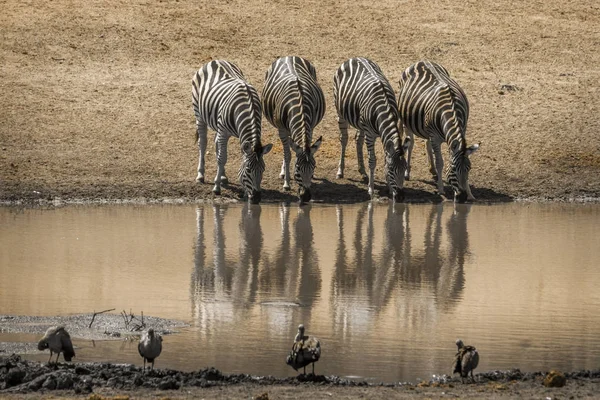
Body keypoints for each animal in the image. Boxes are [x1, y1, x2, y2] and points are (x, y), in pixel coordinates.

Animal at [193, 60, 274, 203]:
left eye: (263, 169)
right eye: (248, 170)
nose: (257, 198)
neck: (248, 107)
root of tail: (216, 60)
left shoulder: (235, 134)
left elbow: (225, 155)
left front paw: (244, 191)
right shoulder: (224, 132)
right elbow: (222, 158)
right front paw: (216, 187)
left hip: (218, 125)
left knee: (216, 143)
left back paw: (223, 177)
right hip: (199, 114)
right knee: (202, 144)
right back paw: (200, 175)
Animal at [262, 55, 326, 203]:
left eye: (314, 167)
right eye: (298, 168)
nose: (306, 196)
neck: (299, 105)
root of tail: (289, 56)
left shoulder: (310, 126)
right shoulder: (282, 130)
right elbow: (288, 155)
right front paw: (286, 183)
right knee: (287, 149)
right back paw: (283, 172)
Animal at [330, 57, 410, 202]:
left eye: (405, 168)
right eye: (392, 169)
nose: (401, 197)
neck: (383, 109)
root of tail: (354, 58)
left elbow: (385, 158)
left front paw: (390, 189)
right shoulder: (370, 134)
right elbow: (372, 161)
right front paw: (371, 190)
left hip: (360, 122)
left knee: (358, 140)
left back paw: (362, 172)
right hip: (340, 112)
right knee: (344, 139)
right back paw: (340, 171)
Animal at [396, 59, 480, 203]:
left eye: (469, 169)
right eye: (453, 169)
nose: (462, 197)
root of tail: (423, 60)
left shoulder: (462, 129)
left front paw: (470, 194)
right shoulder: (435, 137)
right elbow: (440, 162)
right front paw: (441, 189)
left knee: (427, 143)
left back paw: (433, 171)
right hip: (406, 121)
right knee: (411, 144)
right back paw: (407, 172)